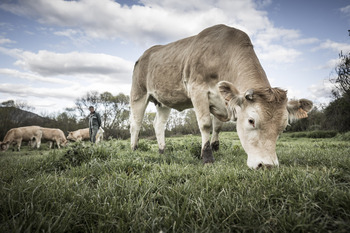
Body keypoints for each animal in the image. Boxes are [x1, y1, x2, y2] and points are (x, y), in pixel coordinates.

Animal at [130, 24, 314, 169]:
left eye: (283, 126)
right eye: (251, 121)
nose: (267, 165)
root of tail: (145, 54)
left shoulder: (222, 101)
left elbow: (217, 126)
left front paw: (215, 147)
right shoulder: (197, 89)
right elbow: (205, 124)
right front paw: (207, 157)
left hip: (163, 102)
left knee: (158, 124)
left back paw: (162, 150)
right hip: (138, 94)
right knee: (136, 124)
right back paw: (134, 148)